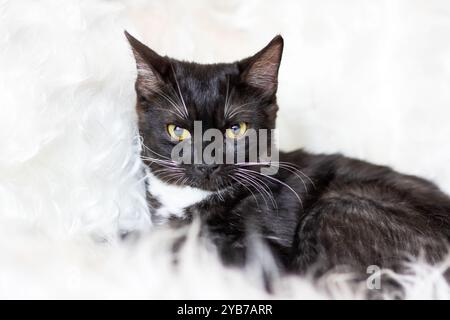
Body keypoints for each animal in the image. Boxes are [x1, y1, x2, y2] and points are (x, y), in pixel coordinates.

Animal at [125, 31, 450, 280]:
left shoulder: (264, 255)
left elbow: (189, 243)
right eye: (177, 130)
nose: (207, 163)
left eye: (236, 129)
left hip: (340, 206)